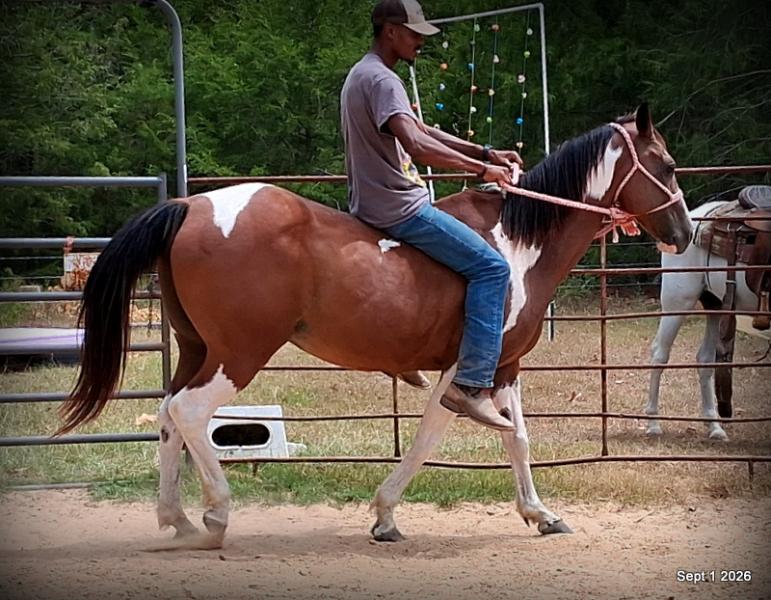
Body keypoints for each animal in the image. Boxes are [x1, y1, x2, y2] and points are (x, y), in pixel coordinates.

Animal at [57, 104, 691, 549]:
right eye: (665, 166)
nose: (684, 232)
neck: (517, 243)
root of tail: (190, 206)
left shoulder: (505, 364)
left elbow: (518, 438)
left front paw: (541, 514)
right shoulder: (464, 372)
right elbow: (431, 437)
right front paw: (385, 515)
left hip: (197, 348)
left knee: (168, 414)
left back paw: (177, 518)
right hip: (238, 353)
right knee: (189, 412)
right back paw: (214, 512)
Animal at [646, 200, 769, 441]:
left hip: (716, 306)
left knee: (705, 360)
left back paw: (714, 426)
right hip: (678, 301)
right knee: (660, 354)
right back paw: (654, 423)